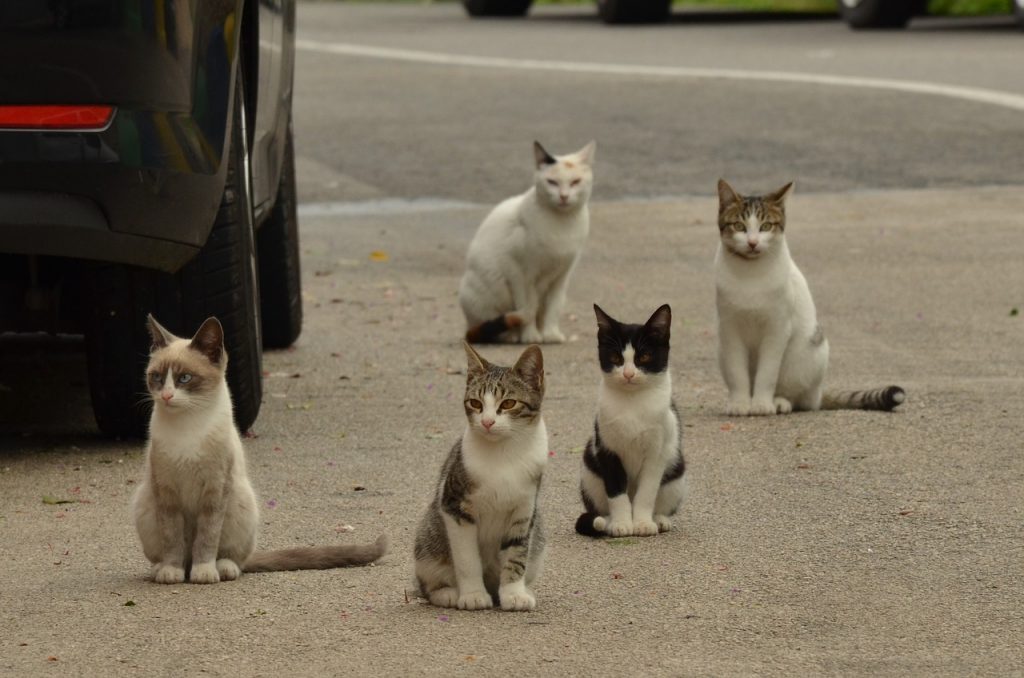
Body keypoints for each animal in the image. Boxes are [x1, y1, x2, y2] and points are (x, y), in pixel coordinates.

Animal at [134, 315, 389, 585]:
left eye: (184, 378)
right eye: (157, 377)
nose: (166, 396)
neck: (187, 426)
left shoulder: (215, 490)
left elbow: (207, 538)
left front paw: (204, 572)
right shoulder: (166, 492)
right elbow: (172, 538)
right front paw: (171, 571)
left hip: (240, 501)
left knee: (234, 558)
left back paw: (221, 569)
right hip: (145, 503)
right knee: (181, 555)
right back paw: (164, 569)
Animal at [411, 342, 548, 614]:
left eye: (508, 403)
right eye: (475, 403)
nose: (486, 422)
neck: (505, 453)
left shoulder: (524, 511)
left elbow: (516, 555)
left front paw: (514, 594)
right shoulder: (455, 507)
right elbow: (467, 559)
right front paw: (473, 594)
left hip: (538, 539)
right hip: (428, 541)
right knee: (428, 584)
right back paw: (447, 593)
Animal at [460, 142, 598, 346]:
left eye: (575, 182)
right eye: (552, 182)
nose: (564, 196)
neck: (561, 224)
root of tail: (467, 326)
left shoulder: (562, 274)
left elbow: (554, 307)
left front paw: (550, 334)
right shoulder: (520, 273)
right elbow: (528, 307)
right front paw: (530, 335)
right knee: (492, 326)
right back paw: (511, 335)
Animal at [577, 305, 688, 540]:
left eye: (644, 356)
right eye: (615, 357)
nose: (628, 374)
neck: (633, 403)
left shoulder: (657, 452)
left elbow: (647, 492)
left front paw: (643, 523)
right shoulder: (607, 448)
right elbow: (616, 491)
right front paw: (621, 523)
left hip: (677, 471)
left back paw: (659, 519)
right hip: (589, 470)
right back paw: (607, 521)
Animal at [712, 178, 905, 417]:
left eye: (766, 226)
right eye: (739, 226)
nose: (753, 242)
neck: (750, 274)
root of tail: (820, 393)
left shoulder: (777, 328)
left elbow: (767, 373)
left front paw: (762, 404)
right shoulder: (730, 329)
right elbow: (737, 372)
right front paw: (740, 403)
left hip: (808, 354)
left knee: (802, 398)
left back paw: (780, 401)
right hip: (721, 349)